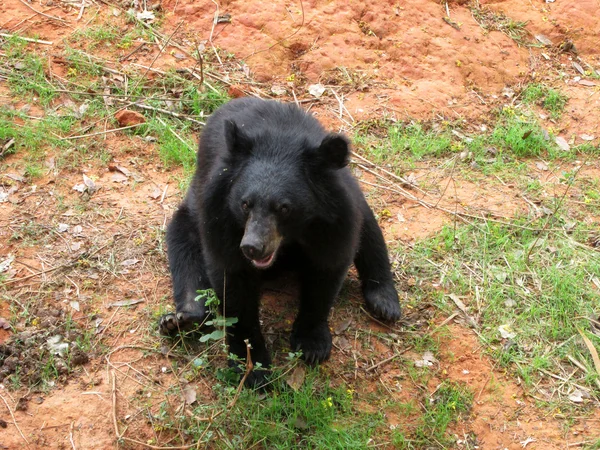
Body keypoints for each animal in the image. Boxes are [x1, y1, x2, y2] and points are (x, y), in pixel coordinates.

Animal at [162, 98, 400, 386]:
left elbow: (327, 268)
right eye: (245, 204)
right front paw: (252, 369)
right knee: (184, 248)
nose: (252, 247)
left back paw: (385, 303)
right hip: (191, 213)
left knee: (371, 233)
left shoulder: (335, 218)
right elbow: (233, 281)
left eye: (284, 208)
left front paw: (311, 345)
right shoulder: (219, 216)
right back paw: (181, 320)